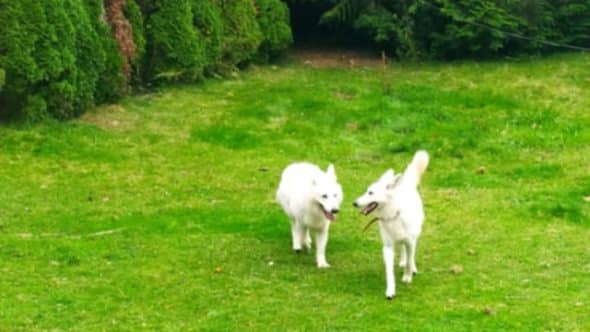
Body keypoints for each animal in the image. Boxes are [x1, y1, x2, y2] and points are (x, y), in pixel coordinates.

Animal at [354, 152, 428, 300]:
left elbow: (410, 260)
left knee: (410, 254)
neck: (393, 215)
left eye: (371, 193)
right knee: (403, 250)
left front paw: (407, 276)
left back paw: (411, 267)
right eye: (367, 191)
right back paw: (402, 261)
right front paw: (390, 290)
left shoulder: (410, 242)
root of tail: (405, 184)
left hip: (414, 236)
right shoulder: (387, 247)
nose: (355, 203)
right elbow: (389, 272)